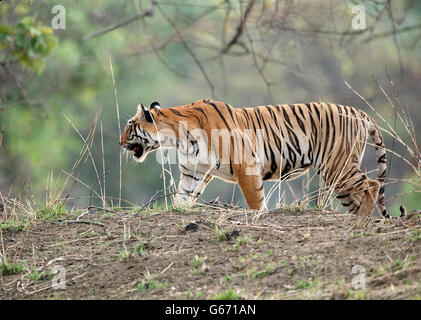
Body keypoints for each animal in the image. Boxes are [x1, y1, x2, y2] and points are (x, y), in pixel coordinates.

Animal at [120, 98, 402, 218]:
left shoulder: (245, 165)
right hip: (339, 179)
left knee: (372, 184)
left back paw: (363, 219)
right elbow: (183, 196)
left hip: (337, 166)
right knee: (360, 193)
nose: (120, 143)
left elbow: (255, 200)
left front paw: (260, 217)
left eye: (130, 125)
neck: (179, 137)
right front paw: (178, 210)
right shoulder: (194, 171)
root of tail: (360, 112)